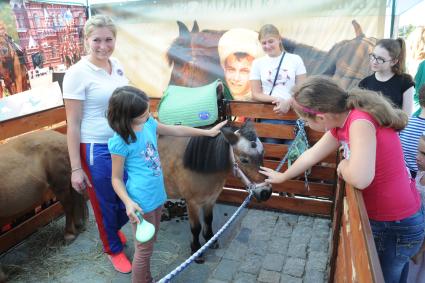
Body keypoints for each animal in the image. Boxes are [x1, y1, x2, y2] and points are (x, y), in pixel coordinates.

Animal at [159, 120, 272, 264]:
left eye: (263, 153)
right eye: (244, 159)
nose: (266, 192)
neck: (198, 166)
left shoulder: (211, 199)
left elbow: (208, 219)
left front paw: (210, 240)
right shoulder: (192, 203)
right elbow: (195, 228)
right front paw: (196, 251)